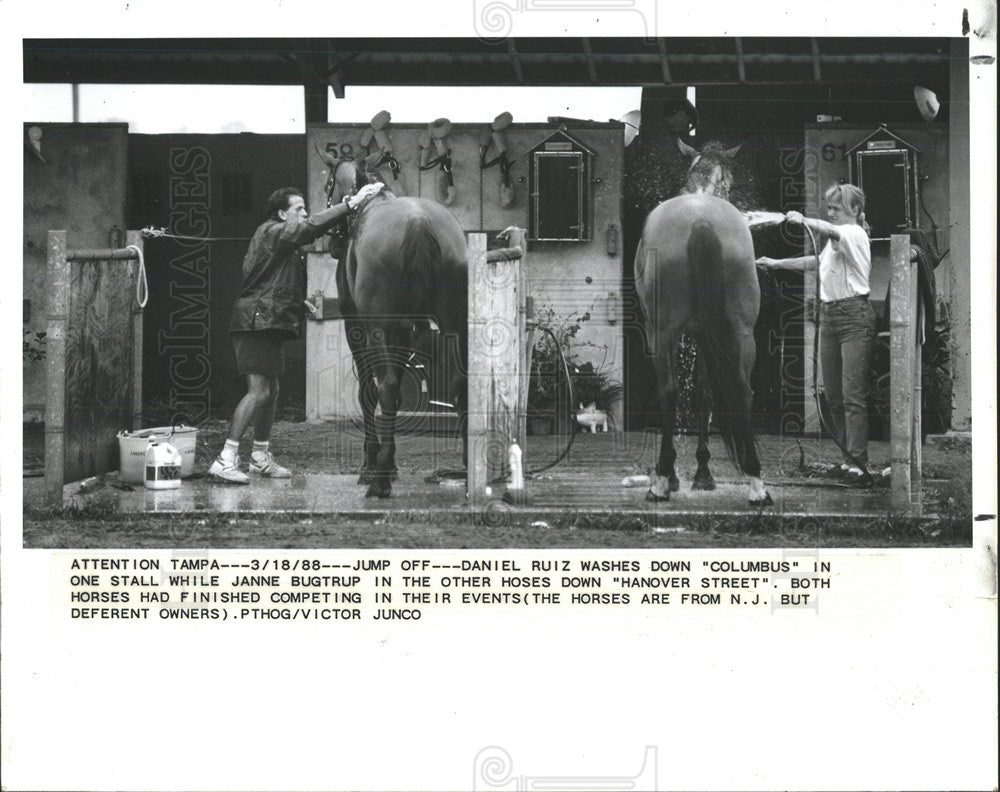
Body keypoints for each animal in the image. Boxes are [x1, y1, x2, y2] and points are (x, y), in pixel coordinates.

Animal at [316, 150, 468, 496]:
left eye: (328, 184)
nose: (333, 244)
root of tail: (419, 223)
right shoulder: (404, 330)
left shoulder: (357, 327)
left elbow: (369, 391)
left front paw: (371, 463)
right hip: (455, 324)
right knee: (461, 384)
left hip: (378, 329)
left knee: (386, 388)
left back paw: (379, 480)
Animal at [636, 139, 768, 504]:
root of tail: (701, 221)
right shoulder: (710, 333)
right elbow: (705, 396)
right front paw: (703, 474)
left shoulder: (677, 334)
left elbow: (689, 394)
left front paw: (683, 475)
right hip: (742, 332)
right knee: (743, 389)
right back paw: (757, 484)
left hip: (661, 332)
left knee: (668, 391)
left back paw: (662, 481)